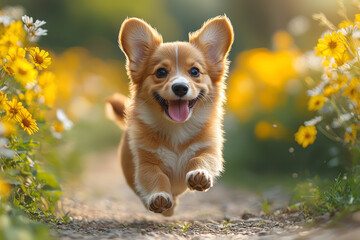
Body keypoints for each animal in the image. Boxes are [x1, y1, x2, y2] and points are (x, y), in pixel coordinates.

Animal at [105, 15, 235, 217]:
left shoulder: (208, 150)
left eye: (195, 71)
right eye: (161, 72)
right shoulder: (146, 163)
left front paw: (199, 175)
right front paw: (159, 197)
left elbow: (201, 160)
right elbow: (156, 178)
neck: (177, 128)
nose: (180, 87)